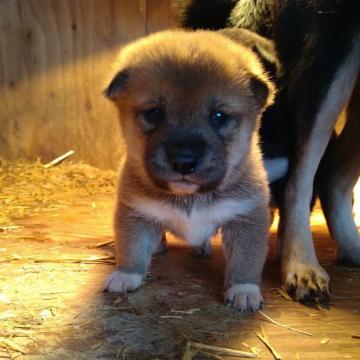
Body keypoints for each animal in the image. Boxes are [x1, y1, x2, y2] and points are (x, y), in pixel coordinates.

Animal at [102, 29, 276, 310]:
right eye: (154, 113)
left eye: (219, 117)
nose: (184, 161)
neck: (190, 197)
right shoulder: (134, 212)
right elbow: (131, 247)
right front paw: (126, 274)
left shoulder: (247, 219)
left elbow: (246, 259)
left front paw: (244, 289)